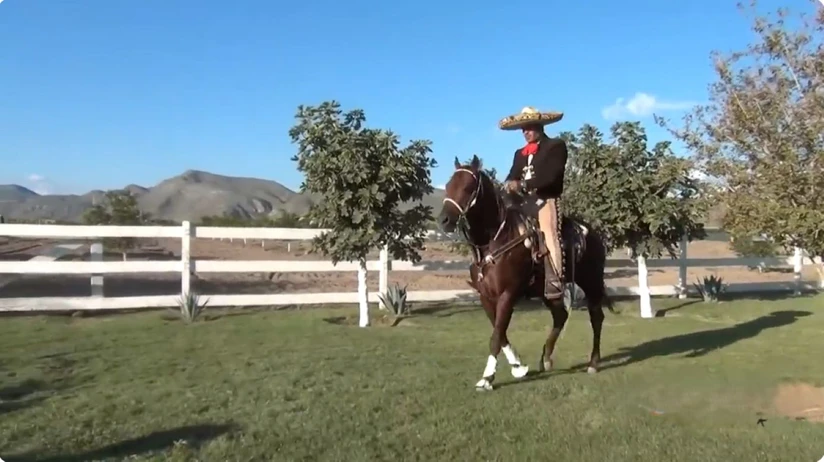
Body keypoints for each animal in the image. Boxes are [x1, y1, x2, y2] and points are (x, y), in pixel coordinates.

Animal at [436, 155, 614, 391]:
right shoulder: (486, 297)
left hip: (592, 282)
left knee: (596, 317)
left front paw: (488, 378)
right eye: (448, 185)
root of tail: (592, 234)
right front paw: (518, 367)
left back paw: (593, 363)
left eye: (467, 187)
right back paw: (546, 359)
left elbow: (496, 336)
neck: (495, 240)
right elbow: (500, 333)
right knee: (560, 316)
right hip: (547, 290)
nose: (444, 220)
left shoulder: (508, 294)